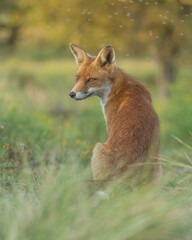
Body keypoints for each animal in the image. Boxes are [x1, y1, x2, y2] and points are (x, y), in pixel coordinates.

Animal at [69, 43, 162, 182]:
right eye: (77, 78)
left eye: (91, 80)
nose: (71, 94)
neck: (116, 87)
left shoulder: (110, 126)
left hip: (98, 149)